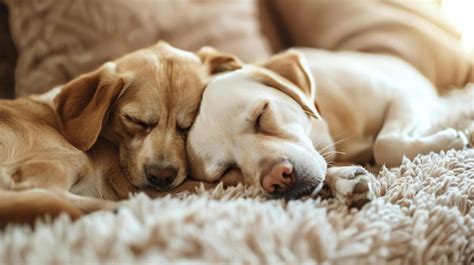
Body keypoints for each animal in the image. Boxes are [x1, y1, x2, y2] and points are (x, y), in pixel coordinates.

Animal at [187, 48, 468, 206]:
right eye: (226, 171)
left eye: (261, 115)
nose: (276, 179)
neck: (330, 128)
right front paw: (346, 180)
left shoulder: (403, 95)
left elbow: (384, 144)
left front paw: (450, 139)